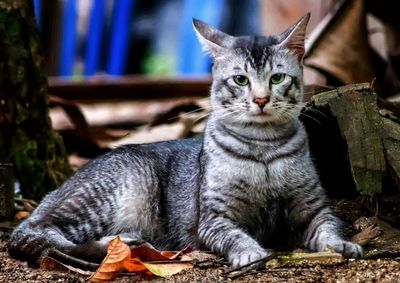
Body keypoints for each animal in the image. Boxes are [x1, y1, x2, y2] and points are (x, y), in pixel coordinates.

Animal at [8, 13, 362, 270]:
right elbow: (236, 236)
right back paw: (118, 244)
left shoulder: (313, 207)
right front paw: (250, 252)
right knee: (34, 235)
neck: (263, 146)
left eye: (276, 78)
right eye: (240, 80)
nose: (261, 100)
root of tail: (55, 191)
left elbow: (330, 227)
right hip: (109, 194)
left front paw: (342, 245)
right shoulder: (212, 218)